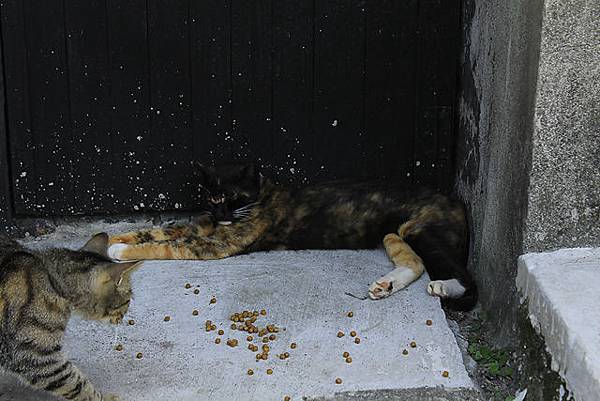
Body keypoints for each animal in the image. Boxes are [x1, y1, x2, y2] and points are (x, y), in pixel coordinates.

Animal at [0, 233, 138, 398]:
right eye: (128, 299)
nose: (125, 315)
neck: (52, 282)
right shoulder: (36, 357)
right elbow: (78, 385)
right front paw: (105, 398)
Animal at [109, 162, 478, 310]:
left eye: (234, 198)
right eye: (214, 198)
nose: (221, 214)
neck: (260, 197)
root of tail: (456, 200)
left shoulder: (214, 244)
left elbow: (167, 245)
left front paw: (119, 253)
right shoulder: (201, 227)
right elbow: (155, 230)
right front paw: (114, 239)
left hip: (423, 231)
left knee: (466, 278)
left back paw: (445, 287)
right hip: (394, 234)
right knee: (414, 263)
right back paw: (384, 285)